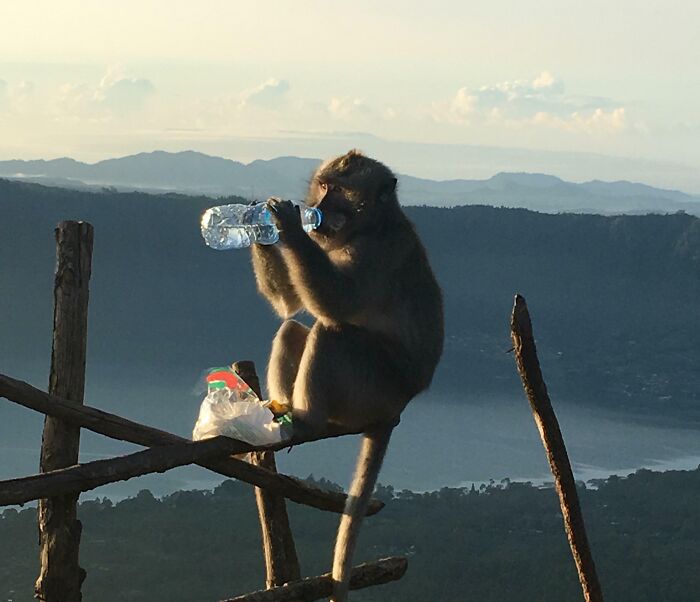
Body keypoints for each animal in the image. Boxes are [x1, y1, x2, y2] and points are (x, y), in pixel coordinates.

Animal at [250, 150, 443, 601]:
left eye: (338, 188)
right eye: (323, 184)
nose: (317, 206)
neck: (370, 224)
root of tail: (399, 406)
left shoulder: (378, 250)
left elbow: (338, 302)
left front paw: (286, 224)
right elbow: (290, 307)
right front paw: (260, 229)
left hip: (373, 387)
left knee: (332, 333)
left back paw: (307, 419)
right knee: (293, 329)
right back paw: (281, 410)